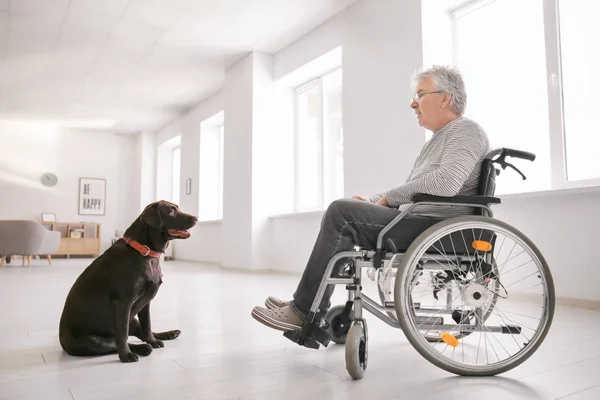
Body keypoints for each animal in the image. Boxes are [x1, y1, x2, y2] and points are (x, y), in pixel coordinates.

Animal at [57, 200, 197, 362]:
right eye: (172, 212)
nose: (196, 218)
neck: (144, 252)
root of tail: (63, 344)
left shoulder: (146, 302)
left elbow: (147, 326)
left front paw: (153, 341)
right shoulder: (124, 303)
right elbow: (123, 335)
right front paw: (125, 355)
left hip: (133, 319)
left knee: (140, 333)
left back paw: (167, 335)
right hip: (94, 340)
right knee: (113, 343)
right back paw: (141, 349)